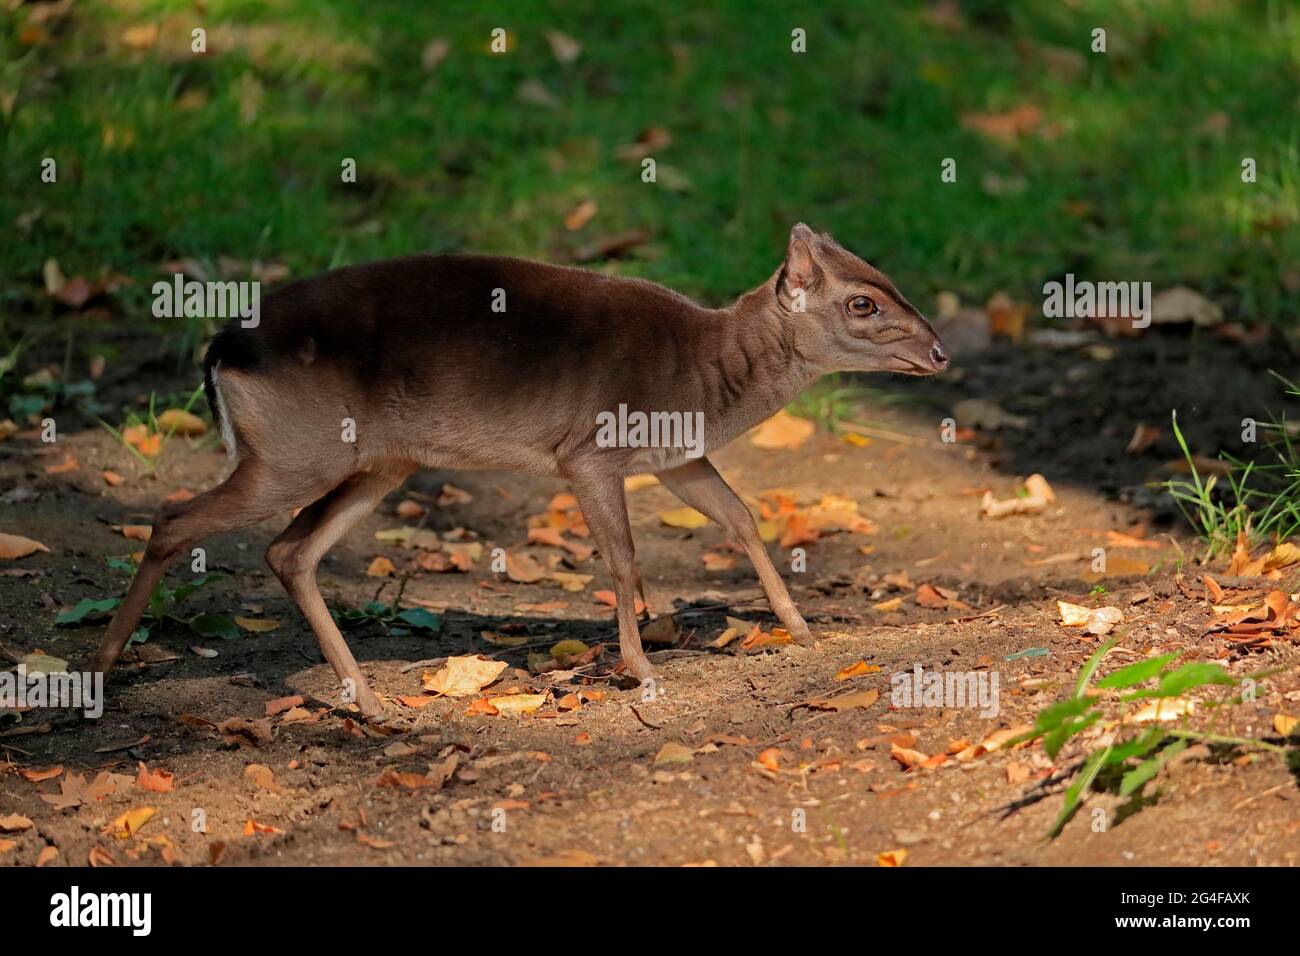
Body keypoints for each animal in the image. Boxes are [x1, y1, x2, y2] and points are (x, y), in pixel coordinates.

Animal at [91, 226, 946, 717]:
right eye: (863, 303)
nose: (939, 352)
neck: (708, 378)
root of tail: (218, 350)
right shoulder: (591, 449)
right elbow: (623, 557)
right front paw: (641, 669)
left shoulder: (675, 456)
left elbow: (741, 516)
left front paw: (802, 629)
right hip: (297, 452)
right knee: (175, 518)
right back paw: (99, 667)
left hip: (376, 458)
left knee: (288, 549)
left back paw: (366, 697)